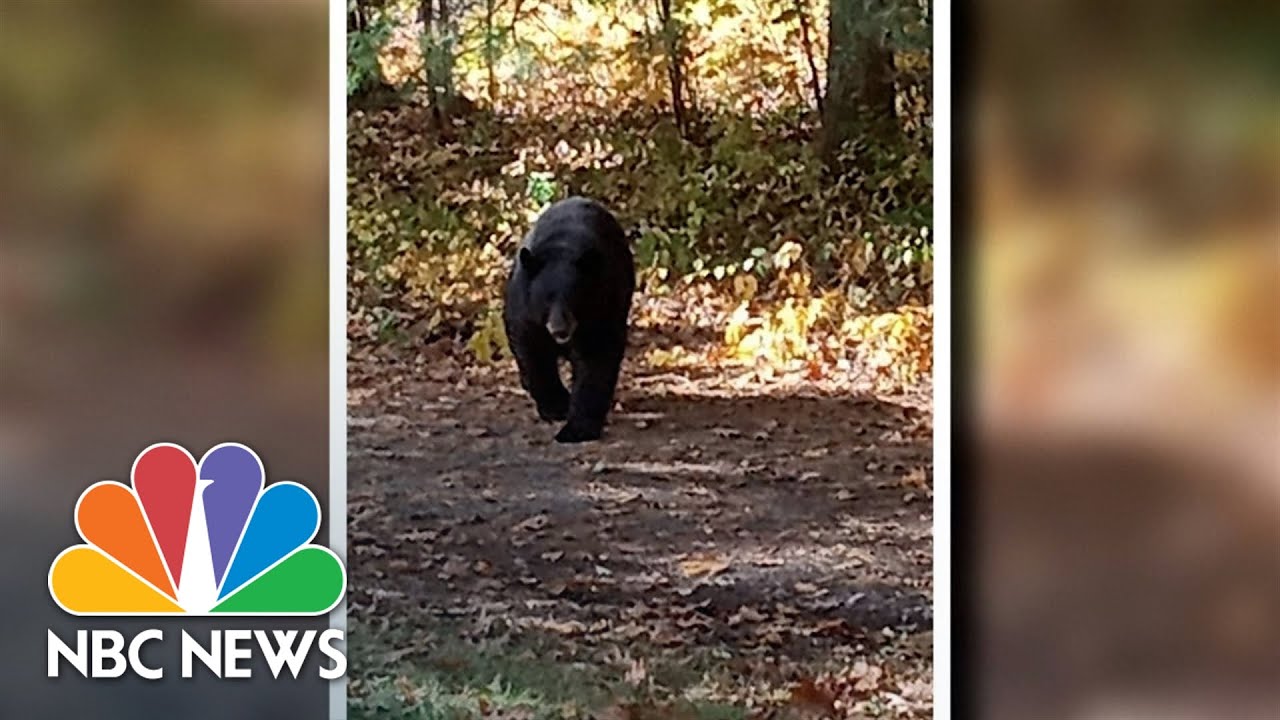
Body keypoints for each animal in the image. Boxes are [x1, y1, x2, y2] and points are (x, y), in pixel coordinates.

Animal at [503, 197, 635, 443]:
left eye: (575, 297)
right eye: (546, 298)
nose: (560, 329)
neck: (563, 250)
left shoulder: (602, 309)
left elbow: (597, 361)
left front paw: (577, 428)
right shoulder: (526, 311)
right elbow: (533, 353)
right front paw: (555, 407)